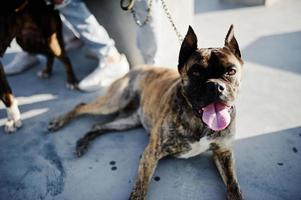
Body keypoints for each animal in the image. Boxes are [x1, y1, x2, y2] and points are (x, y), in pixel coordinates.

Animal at [0, 0, 78, 133]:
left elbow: (6, 95)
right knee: (49, 54)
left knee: (65, 59)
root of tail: (49, 5)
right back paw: (47, 71)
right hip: (28, 42)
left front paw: (13, 120)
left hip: (49, 40)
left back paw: (71, 81)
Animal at [48, 25, 243, 200]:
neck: (199, 121)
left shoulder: (223, 153)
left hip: (127, 121)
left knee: (98, 125)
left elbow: (233, 186)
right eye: (195, 72)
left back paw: (82, 143)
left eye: (231, 71)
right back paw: (59, 122)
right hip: (113, 102)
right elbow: (140, 188)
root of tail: (138, 67)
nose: (215, 86)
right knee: (81, 106)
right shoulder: (150, 155)